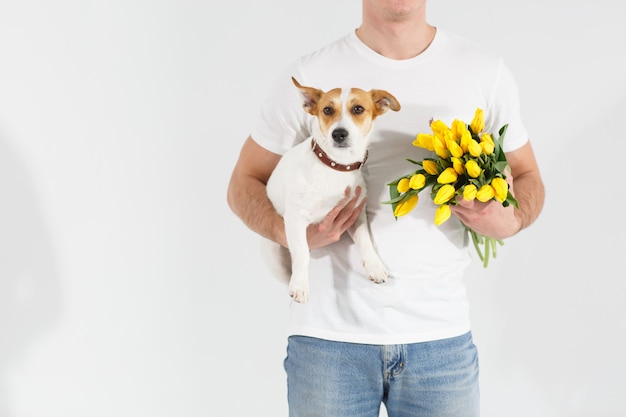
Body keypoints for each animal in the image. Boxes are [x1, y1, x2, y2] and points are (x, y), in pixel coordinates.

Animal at [262, 75, 400, 302]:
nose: (339, 134)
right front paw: (300, 285)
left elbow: (365, 241)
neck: (336, 167)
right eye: (327, 110)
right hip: (272, 253)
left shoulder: (356, 215)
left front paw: (374, 266)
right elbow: (302, 252)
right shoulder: (296, 218)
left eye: (358, 109)